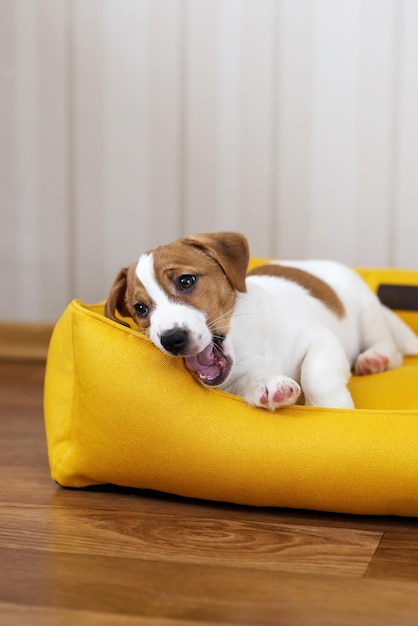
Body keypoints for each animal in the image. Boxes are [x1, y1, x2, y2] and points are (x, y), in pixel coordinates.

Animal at [105, 230, 418, 410]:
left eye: (186, 281)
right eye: (141, 309)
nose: (171, 339)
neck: (246, 345)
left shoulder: (321, 340)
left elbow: (316, 374)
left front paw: (330, 407)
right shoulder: (233, 380)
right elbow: (249, 383)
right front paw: (267, 387)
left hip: (368, 315)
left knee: (389, 347)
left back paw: (375, 358)